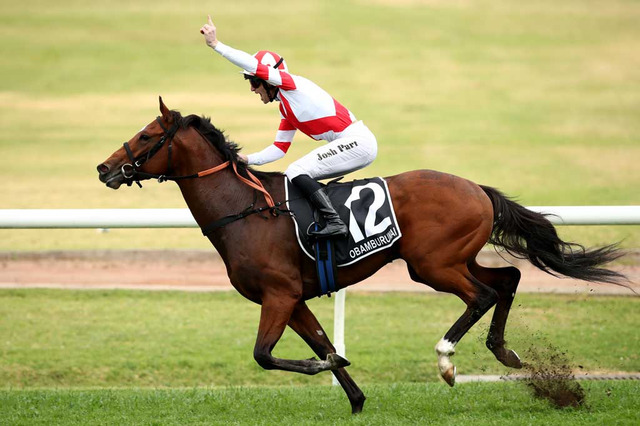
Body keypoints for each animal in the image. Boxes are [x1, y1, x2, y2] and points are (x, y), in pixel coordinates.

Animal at [97, 97, 626, 414]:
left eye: (147, 136)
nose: (104, 168)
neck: (245, 209)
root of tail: (477, 188)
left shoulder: (277, 294)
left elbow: (265, 356)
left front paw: (328, 371)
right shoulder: (295, 298)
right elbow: (323, 345)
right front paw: (354, 397)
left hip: (431, 265)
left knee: (481, 296)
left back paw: (447, 361)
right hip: (450, 259)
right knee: (508, 280)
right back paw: (504, 351)